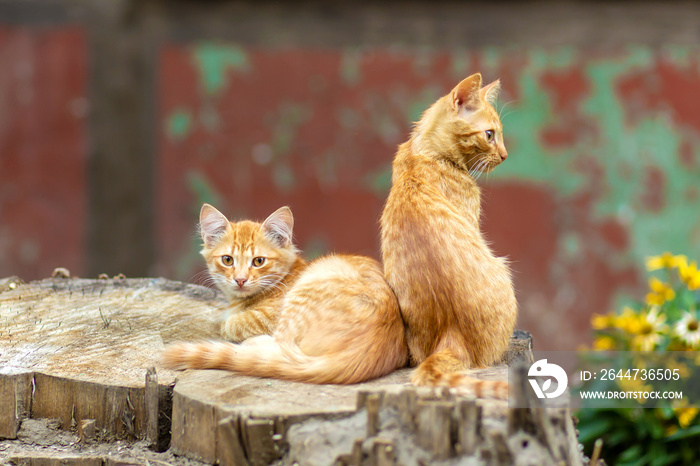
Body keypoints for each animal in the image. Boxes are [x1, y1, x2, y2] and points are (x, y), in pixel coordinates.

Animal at [163, 206, 408, 384]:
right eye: (227, 260)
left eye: (258, 261)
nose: (240, 280)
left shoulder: (267, 316)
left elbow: (232, 324)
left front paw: (228, 323)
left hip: (303, 295)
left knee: (281, 346)